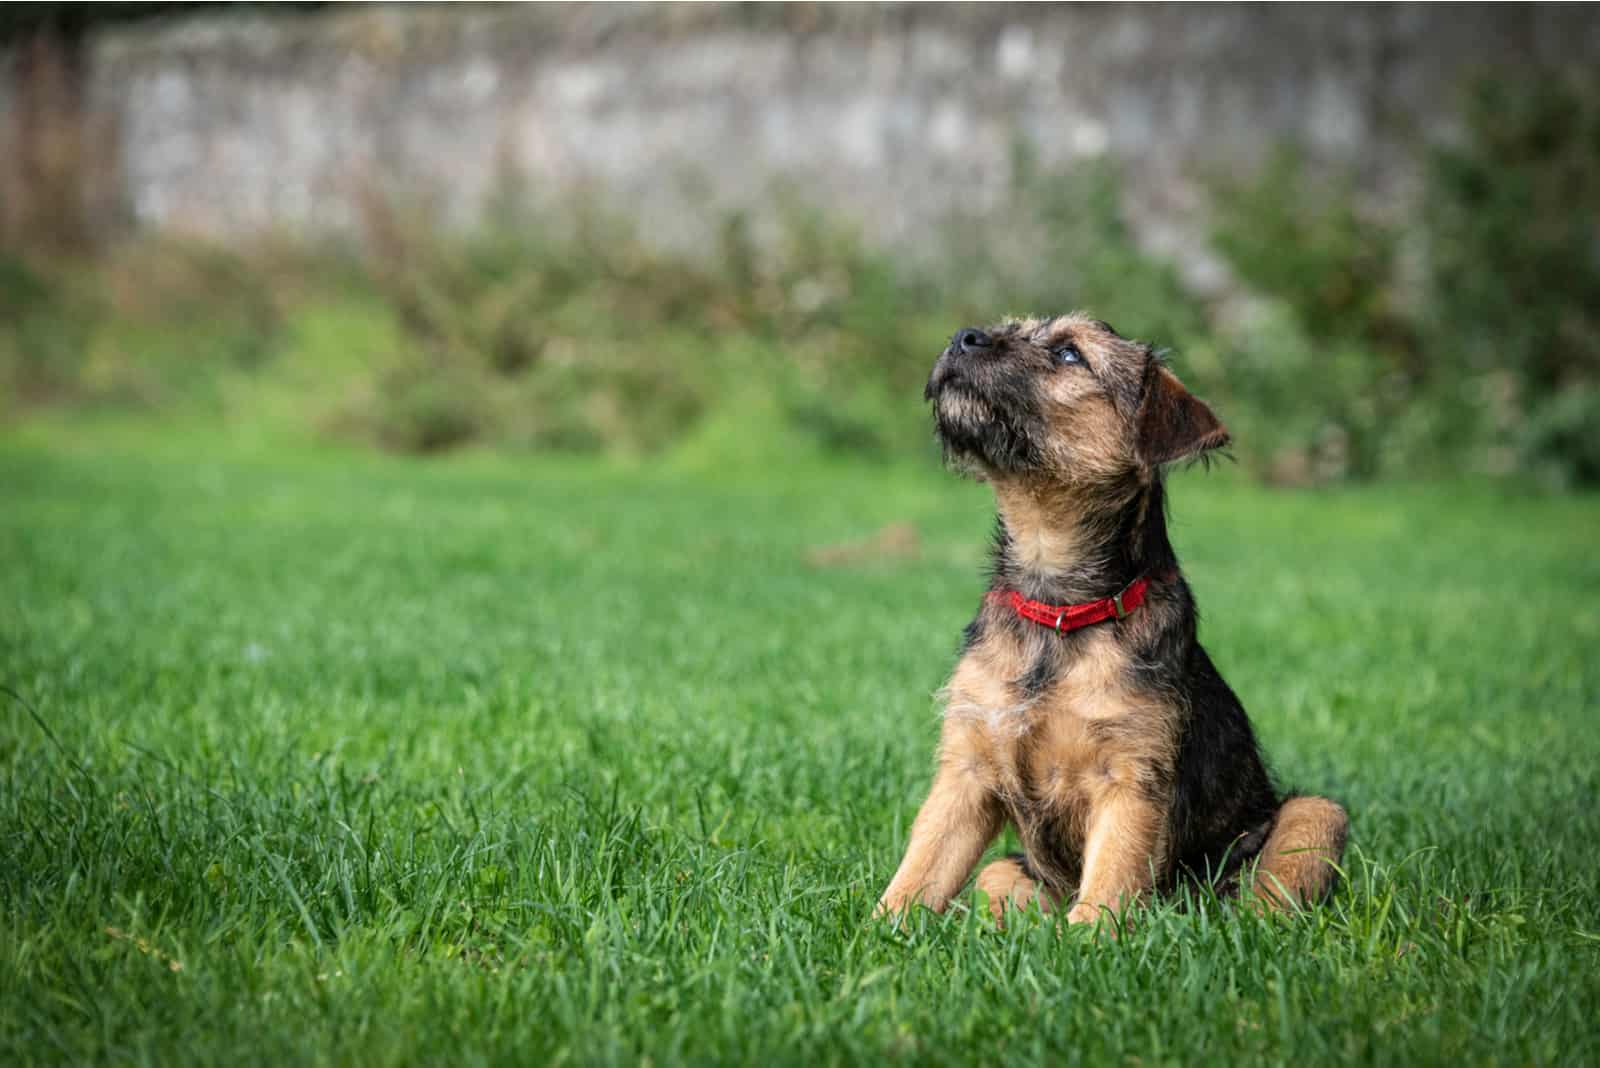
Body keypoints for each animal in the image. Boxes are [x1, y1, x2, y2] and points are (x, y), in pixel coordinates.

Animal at [883, 310, 1344, 927]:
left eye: (1070, 354)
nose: (964, 337)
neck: (1057, 604)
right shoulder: (968, 767)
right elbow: (920, 869)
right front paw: (877, 931)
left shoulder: (1130, 779)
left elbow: (1109, 885)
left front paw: (1087, 942)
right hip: (1003, 870)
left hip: (1313, 815)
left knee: (1260, 902)